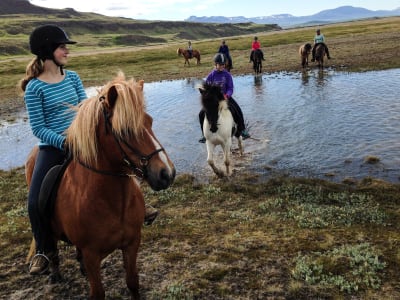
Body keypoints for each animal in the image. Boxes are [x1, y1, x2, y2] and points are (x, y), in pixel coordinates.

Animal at [25, 72, 175, 300]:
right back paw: (54, 273)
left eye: (149, 121)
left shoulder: (131, 244)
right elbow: (98, 292)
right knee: (52, 250)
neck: (111, 203)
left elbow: (133, 282)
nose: (167, 174)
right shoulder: (92, 255)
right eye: (125, 130)